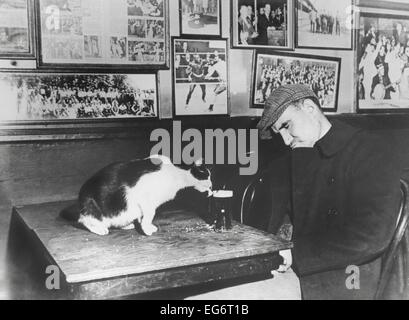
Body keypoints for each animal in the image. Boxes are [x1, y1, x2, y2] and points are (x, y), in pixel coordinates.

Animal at [62, 156, 214, 236]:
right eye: (207, 176)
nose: (212, 188)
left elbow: (144, 216)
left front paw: (143, 225)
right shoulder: (145, 197)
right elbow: (150, 214)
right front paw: (147, 229)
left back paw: (127, 225)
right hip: (92, 207)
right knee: (85, 220)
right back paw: (100, 229)